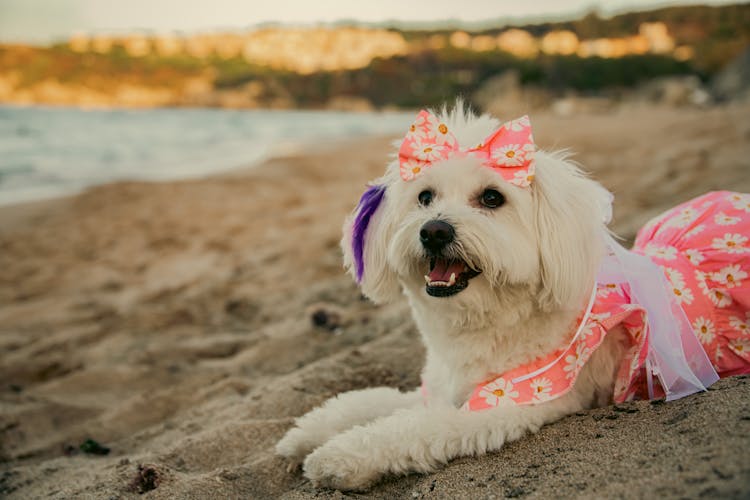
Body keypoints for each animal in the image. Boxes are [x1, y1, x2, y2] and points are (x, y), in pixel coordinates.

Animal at [276, 103, 740, 490]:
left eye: (492, 197)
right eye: (424, 197)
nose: (434, 230)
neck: (486, 322)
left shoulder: (506, 403)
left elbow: (412, 428)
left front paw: (337, 457)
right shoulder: (442, 388)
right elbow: (368, 402)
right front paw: (306, 434)